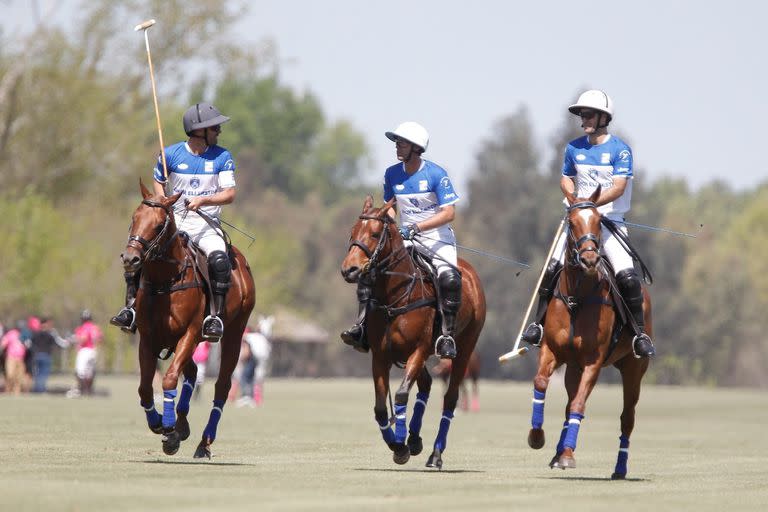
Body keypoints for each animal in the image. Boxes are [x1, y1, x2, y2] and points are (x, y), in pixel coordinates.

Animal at [121, 182, 256, 458]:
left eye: (159, 225)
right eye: (134, 219)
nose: (131, 260)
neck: (165, 280)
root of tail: (241, 260)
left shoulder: (191, 333)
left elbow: (170, 378)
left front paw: (169, 432)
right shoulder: (148, 338)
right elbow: (145, 387)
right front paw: (160, 423)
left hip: (235, 333)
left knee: (222, 385)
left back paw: (204, 442)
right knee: (192, 372)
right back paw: (182, 424)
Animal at [342, 197, 486, 472]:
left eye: (375, 234)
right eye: (352, 232)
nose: (349, 270)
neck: (395, 296)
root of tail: (468, 269)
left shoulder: (418, 349)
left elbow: (400, 394)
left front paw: (401, 446)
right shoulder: (381, 356)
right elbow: (380, 408)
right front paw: (399, 444)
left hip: (465, 348)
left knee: (450, 397)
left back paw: (435, 454)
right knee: (426, 384)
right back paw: (416, 439)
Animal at [528, 186, 656, 478]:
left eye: (598, 222)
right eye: (572, 222)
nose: (589, 259)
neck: (577, 297)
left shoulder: (593, 361)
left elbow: (579, 405)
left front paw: (567, 456)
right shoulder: (551, 350)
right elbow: (541, 384)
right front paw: (537, 437)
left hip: (633, 369)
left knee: (627, 418)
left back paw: (619, 468)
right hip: (573, 367)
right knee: (568, 405)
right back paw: (557, 452)